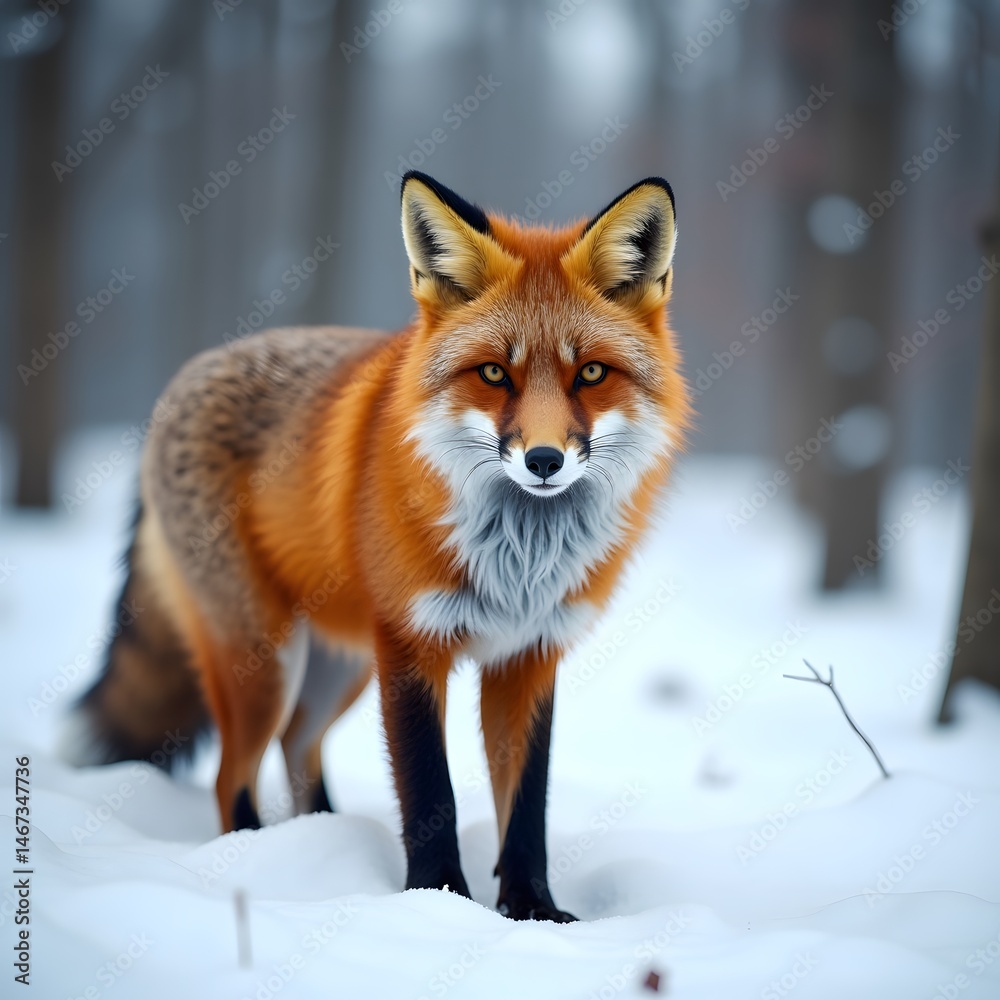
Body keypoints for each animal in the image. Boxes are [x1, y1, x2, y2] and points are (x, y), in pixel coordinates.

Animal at [69, 172, 690, 922]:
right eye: (494, 374)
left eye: (591, 374)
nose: (543, 460)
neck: (518, 560)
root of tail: (188, 374)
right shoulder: (410, 644)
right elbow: (428, 791)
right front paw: (438, 901)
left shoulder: (529, 654)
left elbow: (527, 805)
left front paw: (533, 911)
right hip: (266, 660)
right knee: (231, 776)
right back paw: (253, 861)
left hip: (336, 667)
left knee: (297, 746)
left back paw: (321, 841)